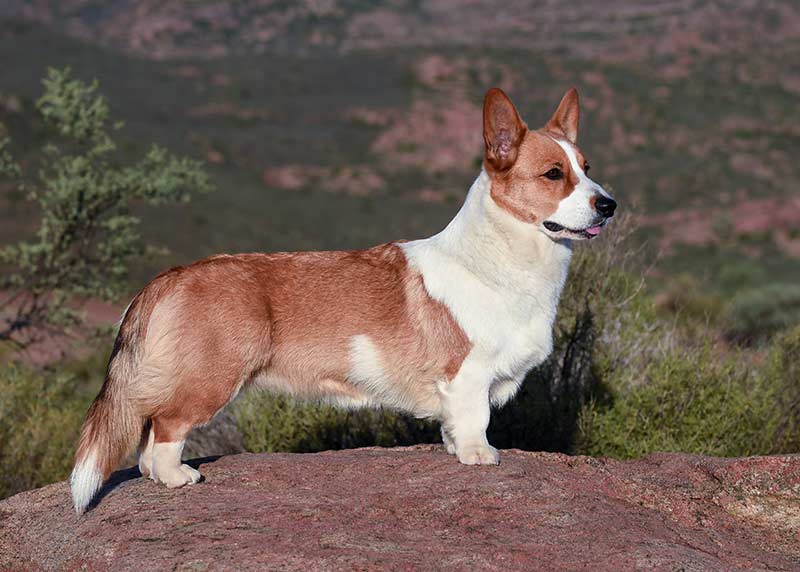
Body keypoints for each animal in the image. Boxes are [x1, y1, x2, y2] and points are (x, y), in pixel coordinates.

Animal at [70, 88, 620, 512]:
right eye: (553, 174)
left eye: (588, 167)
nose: (609, 204)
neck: (507, 257)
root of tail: (167, 278)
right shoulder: (466, 374)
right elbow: (475, 419)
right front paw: (479, 455)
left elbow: (454, 424)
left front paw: (453, 450)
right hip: (210, 378)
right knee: (163, 428)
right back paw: (179, 477)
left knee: (146, 439)